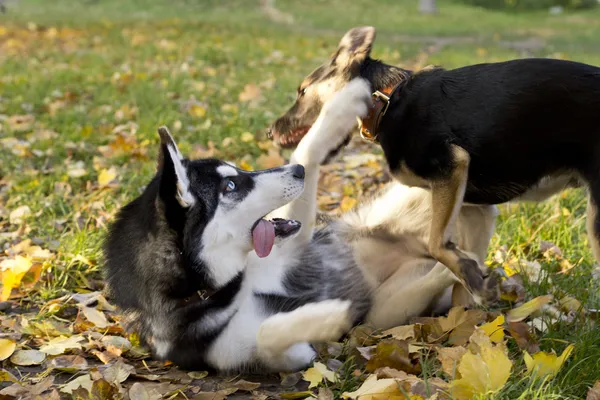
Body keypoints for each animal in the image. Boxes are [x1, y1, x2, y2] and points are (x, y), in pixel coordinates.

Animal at [270, 26, 600, 304]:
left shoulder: (450, 167)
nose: (270, 132)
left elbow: (435, 244)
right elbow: (460, 281)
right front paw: (468, 310)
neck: (388, 99)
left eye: (302, 91)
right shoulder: (473, 209)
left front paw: (471, 279)